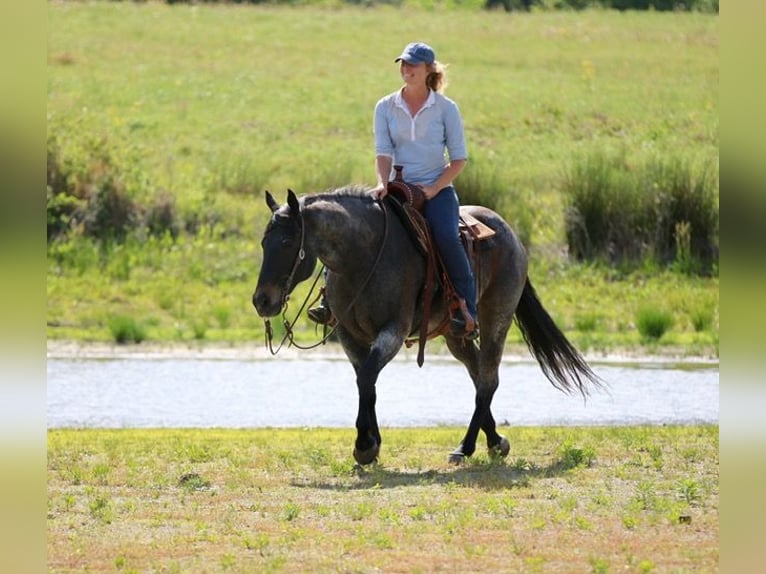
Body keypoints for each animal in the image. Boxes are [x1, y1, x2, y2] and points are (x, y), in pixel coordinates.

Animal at [252, 185, 602, 465]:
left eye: (287, 241)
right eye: (264, 243)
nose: (262, 301)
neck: (362, 259)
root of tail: (510, 233)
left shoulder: (393, 331)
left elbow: (366, 378)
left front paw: (364, 445)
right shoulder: (350, 336)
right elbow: (367, 382)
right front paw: (373, 444)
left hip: (497, 317)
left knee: (488, 379)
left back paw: (466, 447)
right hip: (456, 335)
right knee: (478, 376)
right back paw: (494, 441)